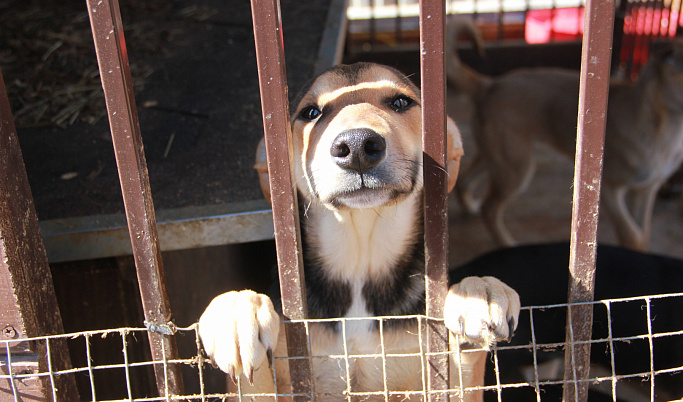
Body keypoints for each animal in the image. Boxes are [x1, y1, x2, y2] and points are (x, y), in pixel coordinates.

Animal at [195, 61, 520, 400]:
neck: (359, 262)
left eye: (400, 102)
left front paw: (478, 293)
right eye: (310, 112)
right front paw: (236, 315)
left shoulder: (442, 376)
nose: (356, 147)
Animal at [446, 19, 683, 251]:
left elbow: (643, 235)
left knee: (465, 180)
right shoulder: (608, 190)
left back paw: (469, 207)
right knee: (489, 209)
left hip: (500, 157)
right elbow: (633, 235)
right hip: (515, 168)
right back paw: (507, 243)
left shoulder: (645, 190)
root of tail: (489, 85)